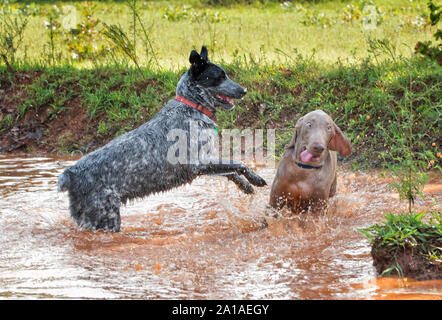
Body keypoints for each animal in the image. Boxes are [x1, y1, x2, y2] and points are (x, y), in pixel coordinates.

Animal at [57, 46, 266, 231]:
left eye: (226, 74)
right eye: (219, 77)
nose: (244, 90)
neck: (192, 107)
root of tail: (70, 174)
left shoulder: (204, 164)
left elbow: (231, 171)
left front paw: (247, 185)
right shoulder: (198, 164)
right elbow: (238, 164)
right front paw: (255, 179)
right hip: (105, 217)